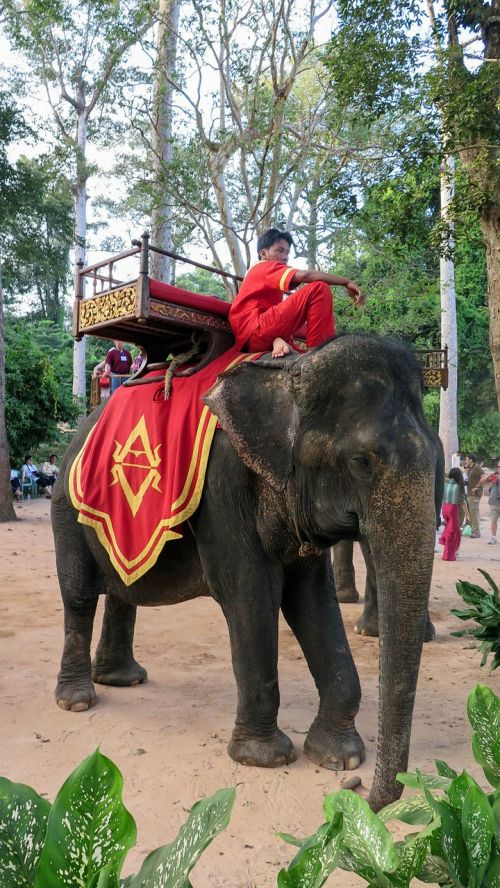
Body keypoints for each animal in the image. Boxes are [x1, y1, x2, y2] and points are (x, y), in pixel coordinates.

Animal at [50, 332, 442, 812]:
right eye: (361, 461)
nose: (362, 797)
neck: (290, 372)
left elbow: (312, 600)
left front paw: (339, 757)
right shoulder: (224, 486)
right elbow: (251, 593)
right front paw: (265, 758)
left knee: (124, 592)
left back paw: (123, 679)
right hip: (66, 505)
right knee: (80, 594)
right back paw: (77, 701)